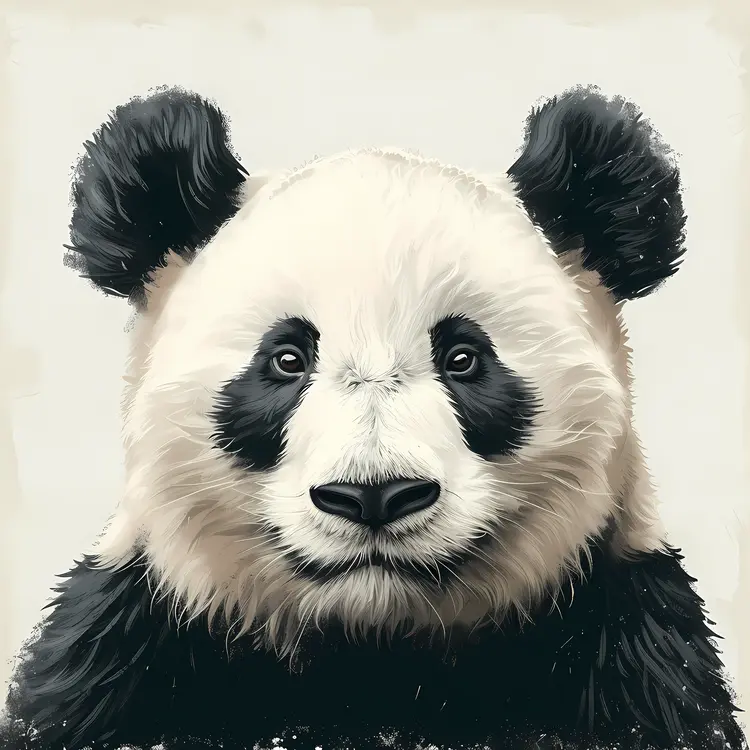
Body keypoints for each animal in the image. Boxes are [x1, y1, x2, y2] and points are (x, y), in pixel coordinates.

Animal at [0, 84, 746, 750]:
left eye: (465, 358)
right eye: (287, 360)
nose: (374, 495)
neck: (370, 648)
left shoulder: (630, 648)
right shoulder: (127, 648)